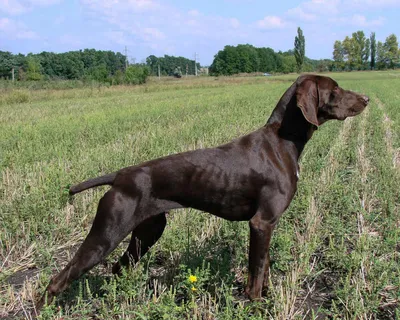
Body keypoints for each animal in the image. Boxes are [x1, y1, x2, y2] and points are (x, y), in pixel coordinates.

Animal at [37, 75, 368, 310]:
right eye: (335, 89)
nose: (366, 98)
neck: (282, 141)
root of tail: (119, 175)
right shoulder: (261, 223)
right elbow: (256, 271)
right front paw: (256, 304)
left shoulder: (268, 225)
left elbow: (265, 266)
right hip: (106, 235)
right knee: (58, 279)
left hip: (147, 232)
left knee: (117, 269)